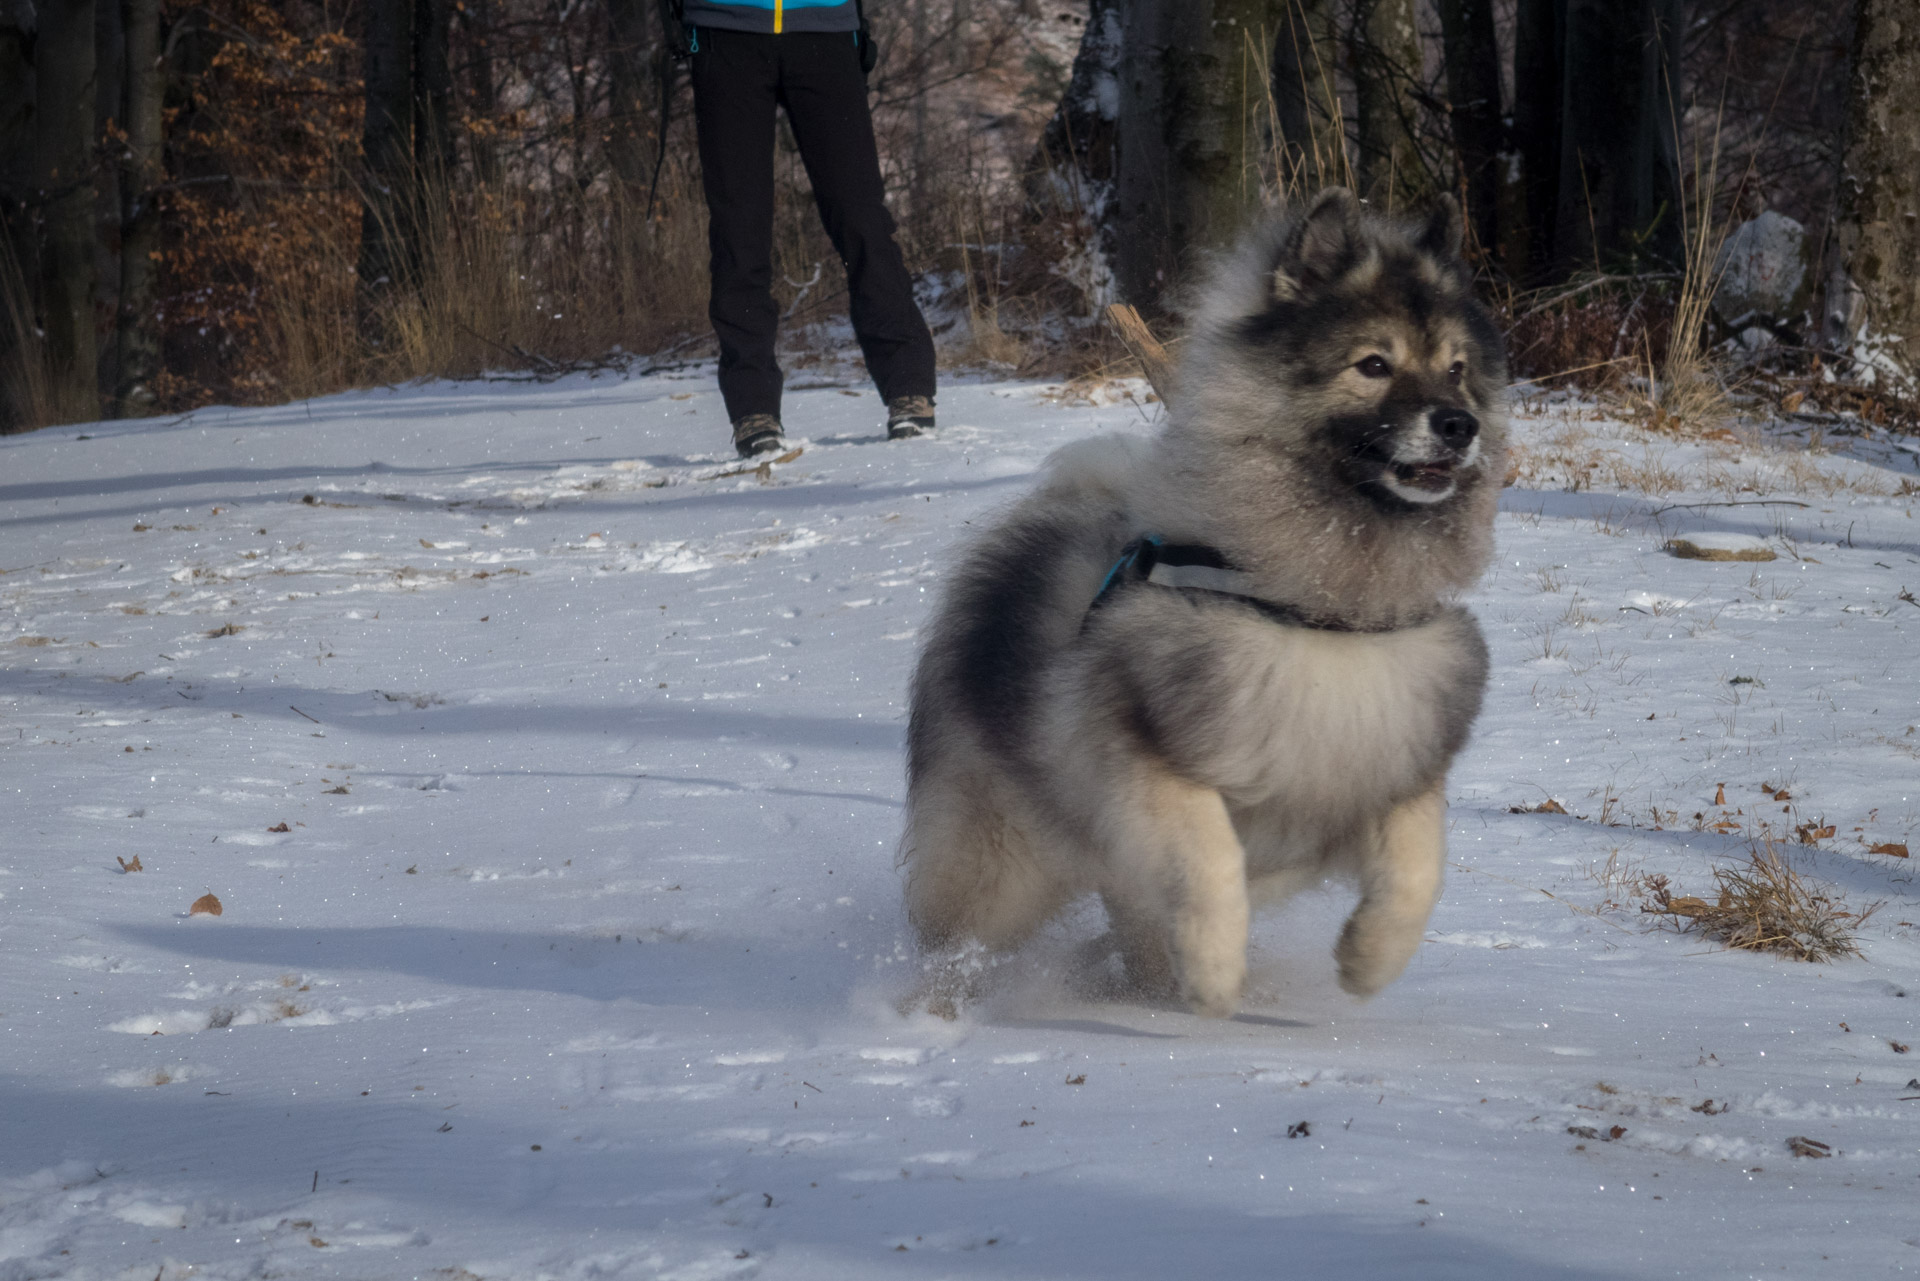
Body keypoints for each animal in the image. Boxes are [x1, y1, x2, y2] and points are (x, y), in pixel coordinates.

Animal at [906, 185, 1505, 1014]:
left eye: (1457, 369)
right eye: (1373, 364)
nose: (1459, 423)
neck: (1315, 610)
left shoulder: (1391, 759)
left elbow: (1419, 868)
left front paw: (1367, 960)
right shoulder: (1138, 761)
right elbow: (1210, 857)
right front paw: (1215, 974)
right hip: (1001, 854)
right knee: (962, 934)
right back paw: (927, 1011)